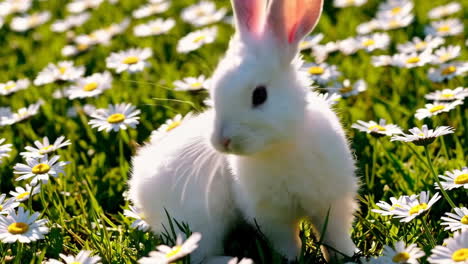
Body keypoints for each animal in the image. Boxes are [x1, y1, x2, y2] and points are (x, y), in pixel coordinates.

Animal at [128, 0, 358, 260]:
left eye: (259, 95)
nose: (222, 142)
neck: (280, 145)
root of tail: (139, 189)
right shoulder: (270, 216)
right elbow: (287, 242)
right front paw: (292, 259)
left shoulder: (332, 201)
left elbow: (335, 236)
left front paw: (348, 256)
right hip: (200, 226)